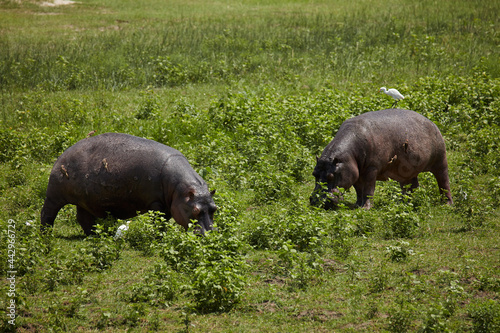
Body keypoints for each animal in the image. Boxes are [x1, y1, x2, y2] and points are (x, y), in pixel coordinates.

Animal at [41, 131, 217, 235]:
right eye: (194, 210)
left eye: (215, 208)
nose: (210, 234)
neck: (179, 190)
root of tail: (62, 154)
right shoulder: (156, 203)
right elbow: (158, 221)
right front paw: (159, 236)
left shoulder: (168, 205)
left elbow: (164, 221)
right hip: (54, 194)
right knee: (48, 213)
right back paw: (46, 234)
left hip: (84, 201)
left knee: (83, 218)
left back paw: (93, 235)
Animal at [308, 108, 454, 208]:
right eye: (314, 174)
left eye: (331, 176)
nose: (315, 200)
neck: (348, 155)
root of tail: (430, 121)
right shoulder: (354, 171)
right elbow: (359, 189)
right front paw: (357, 205)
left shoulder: (371, 169)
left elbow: (368, 189)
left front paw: (366, 208)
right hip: (406, 171)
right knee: (410, 186)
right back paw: (404, 203)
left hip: (441, 161)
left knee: (444, 182)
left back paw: (447, 204)